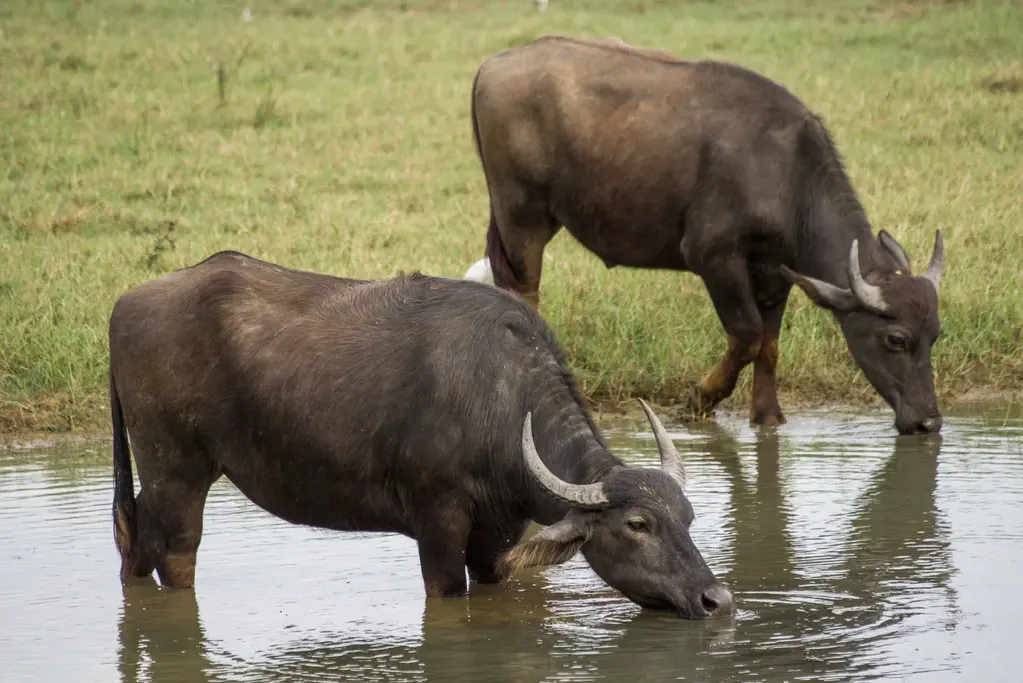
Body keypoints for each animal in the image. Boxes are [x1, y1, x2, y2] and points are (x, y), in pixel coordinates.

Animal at [109, 251, 733, 619]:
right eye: (638, 525)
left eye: (689, 518)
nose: (717, 599)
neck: (500, 401)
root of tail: (126, 303)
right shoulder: (437, 523)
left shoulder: (497, 536)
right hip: (177, 472)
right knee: (175, 554)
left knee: (134, 537)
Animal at [469, 36, 945, 435]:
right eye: (896, 339)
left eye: (935, 335)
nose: (928, 422)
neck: (788, 175)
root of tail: (494, 64)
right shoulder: (714, 258)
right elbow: (748, 336)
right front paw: (700, 400)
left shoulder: (774, 273)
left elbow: (769, 345)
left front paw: (767, 417)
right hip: (521, 216)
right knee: (523, 292)